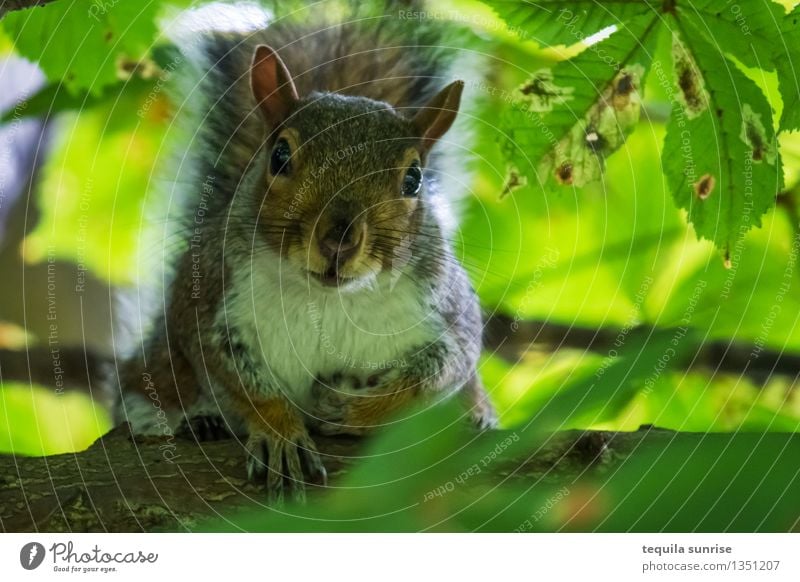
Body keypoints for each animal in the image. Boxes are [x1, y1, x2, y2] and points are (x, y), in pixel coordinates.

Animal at [109, 3, 496, 502]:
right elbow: (243, 381)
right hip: (158, 364)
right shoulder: (213, 303)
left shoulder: (447, 312)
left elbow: (439, 371)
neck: (331, 298)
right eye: (279, 155)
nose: (339, 238)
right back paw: (197, 419)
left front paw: (353, 410)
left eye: (413, 179)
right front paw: (281, 433)